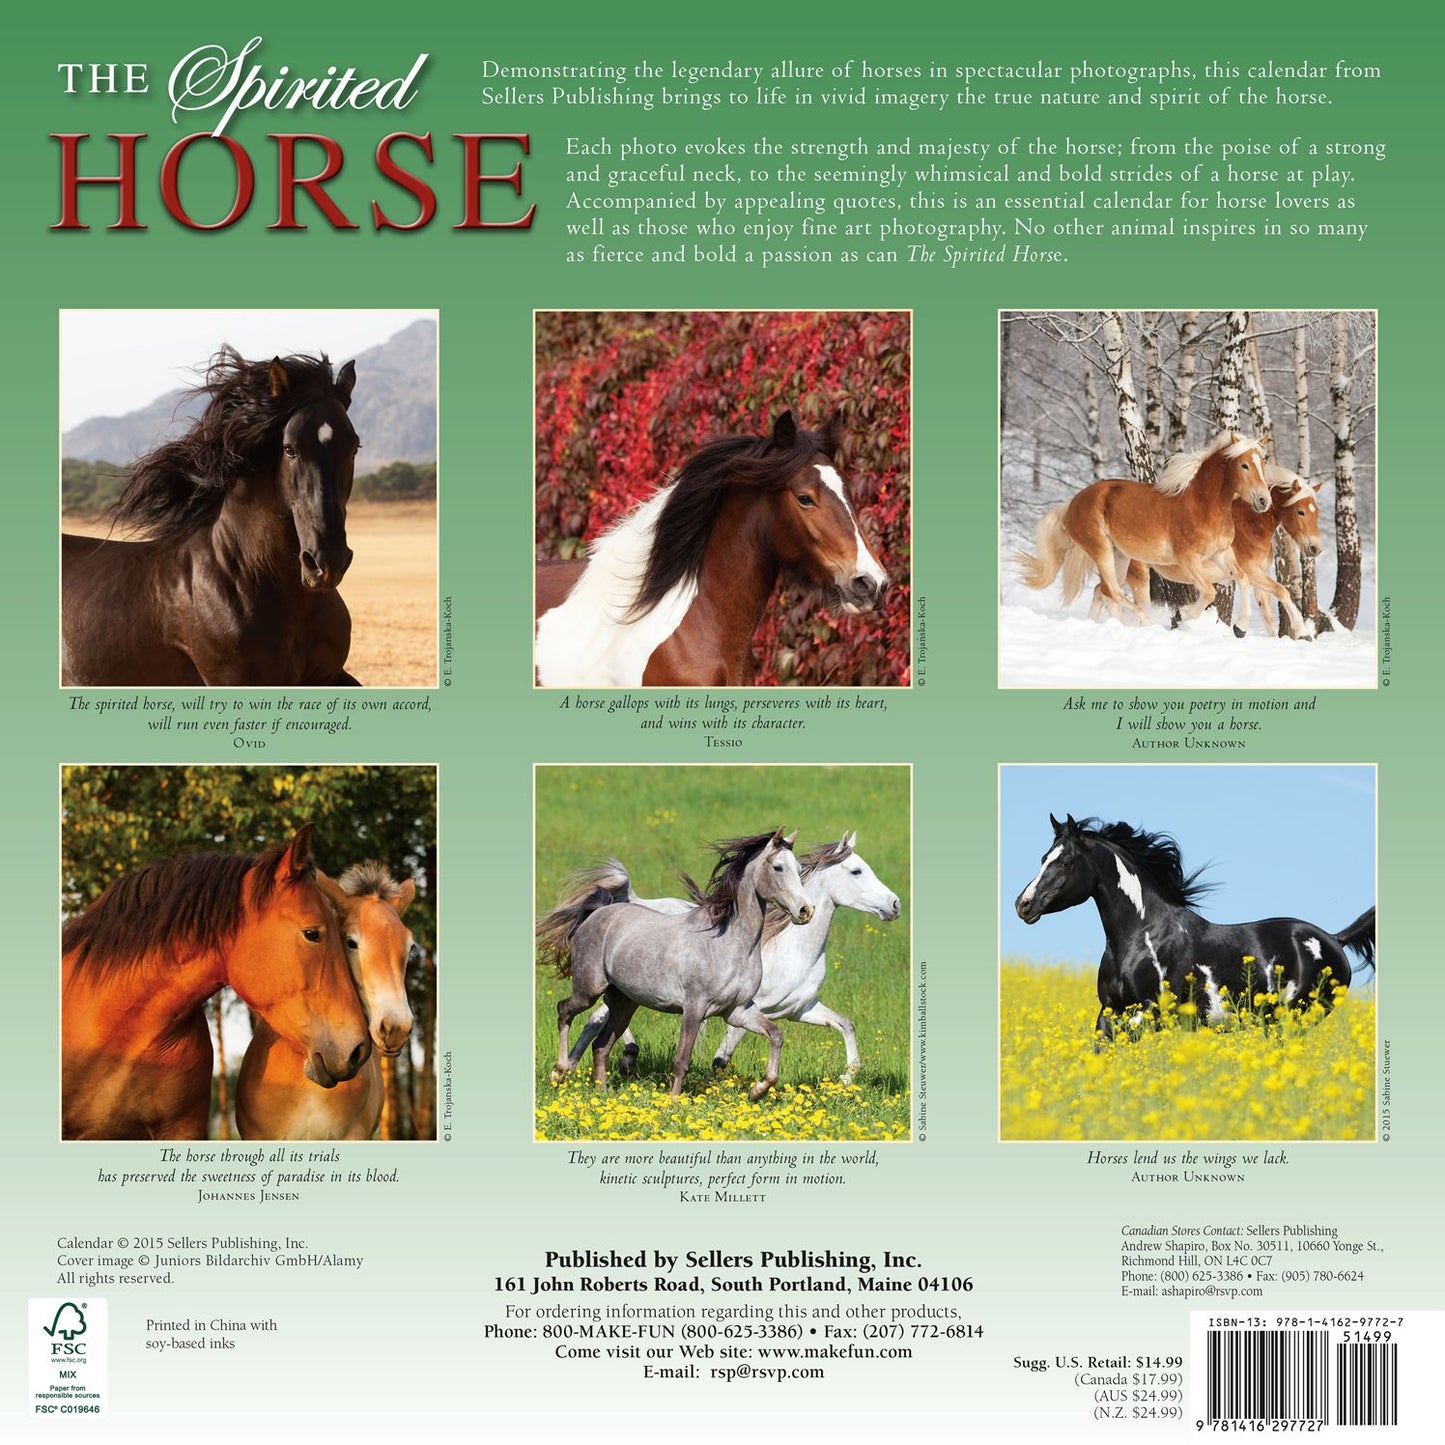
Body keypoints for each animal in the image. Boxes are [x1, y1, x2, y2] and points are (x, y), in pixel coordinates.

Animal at [537, 830, 814, 1101]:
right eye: (778, 867)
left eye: (799, 868)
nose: (805, 910)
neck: (728, 943)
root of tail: (598, 913)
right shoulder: (694, 1008)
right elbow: (682, 1059)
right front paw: (673, 1103)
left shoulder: (738, 1011)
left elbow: (776, 1035)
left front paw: (758, 1090)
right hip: (589, 990)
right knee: (564, 1011)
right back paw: (559, 1071)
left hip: (624, 1003)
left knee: (601, 1045)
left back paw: (602, 1094)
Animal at [563, 833, 901, 1083]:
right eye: (857, 871)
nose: (895, 905)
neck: (793, 949)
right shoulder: (749, 1008)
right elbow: (722, 1056)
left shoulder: (800, 1009)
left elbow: (845, 1025)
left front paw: (847, 1077)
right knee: (595, 1017)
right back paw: (599, 1062)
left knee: (597, 1019)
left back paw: (573, 1067)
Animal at [1012, 814, 1375, 1043]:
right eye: (1044, 857)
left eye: (1065, 862)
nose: (1023, 904)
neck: (1141, 936)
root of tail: (1334, 939)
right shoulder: (1110, 1010)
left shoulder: (1153, 1010)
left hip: (1299, 1015)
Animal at [1014, 432, 1273, 627]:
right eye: (1244, 465)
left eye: (1264, 463)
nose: (1264, 501)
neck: (1203, 505)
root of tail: (1072, 503)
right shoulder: (1187, 558)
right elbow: (1210, 591)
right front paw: (1183, 614)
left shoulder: (1222, 553)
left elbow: (1243, 578)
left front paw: (1241, 627)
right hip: (1102, 550)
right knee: (1114, 591)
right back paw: (1144, 621)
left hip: (1119, 556)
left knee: (1104, 590)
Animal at [1092, 464, 1324, 636]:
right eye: (1301, 511)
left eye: (1317, 512)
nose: (1315, 548)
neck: (1251, 525)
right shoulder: (1251, 572)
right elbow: (1282, 591)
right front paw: (1302, 631)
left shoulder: (1260, 573)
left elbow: (1268, 613)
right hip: (1137, 575)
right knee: (1112, 595)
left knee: (1100, 591)